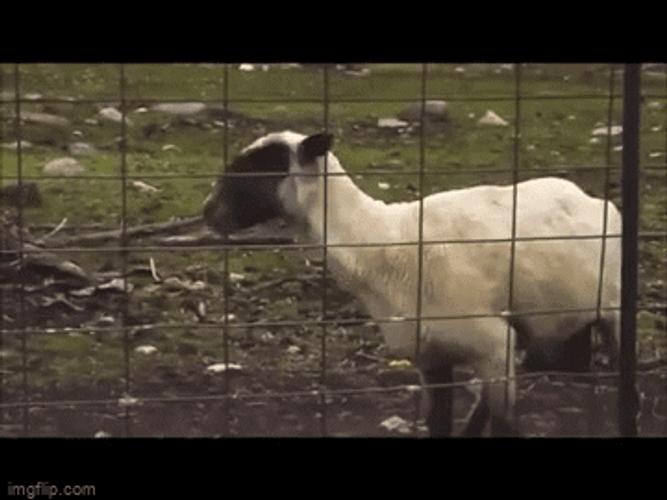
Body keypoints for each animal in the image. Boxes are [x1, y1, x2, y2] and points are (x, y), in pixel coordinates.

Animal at [203, 130, 622, 437]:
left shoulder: (491, 343)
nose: (208, 213)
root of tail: (591, 197)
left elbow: (504, 425)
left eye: (259, 170)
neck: (383, 242)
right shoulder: (432, 355)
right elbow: (439, 423)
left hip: (612, 311)